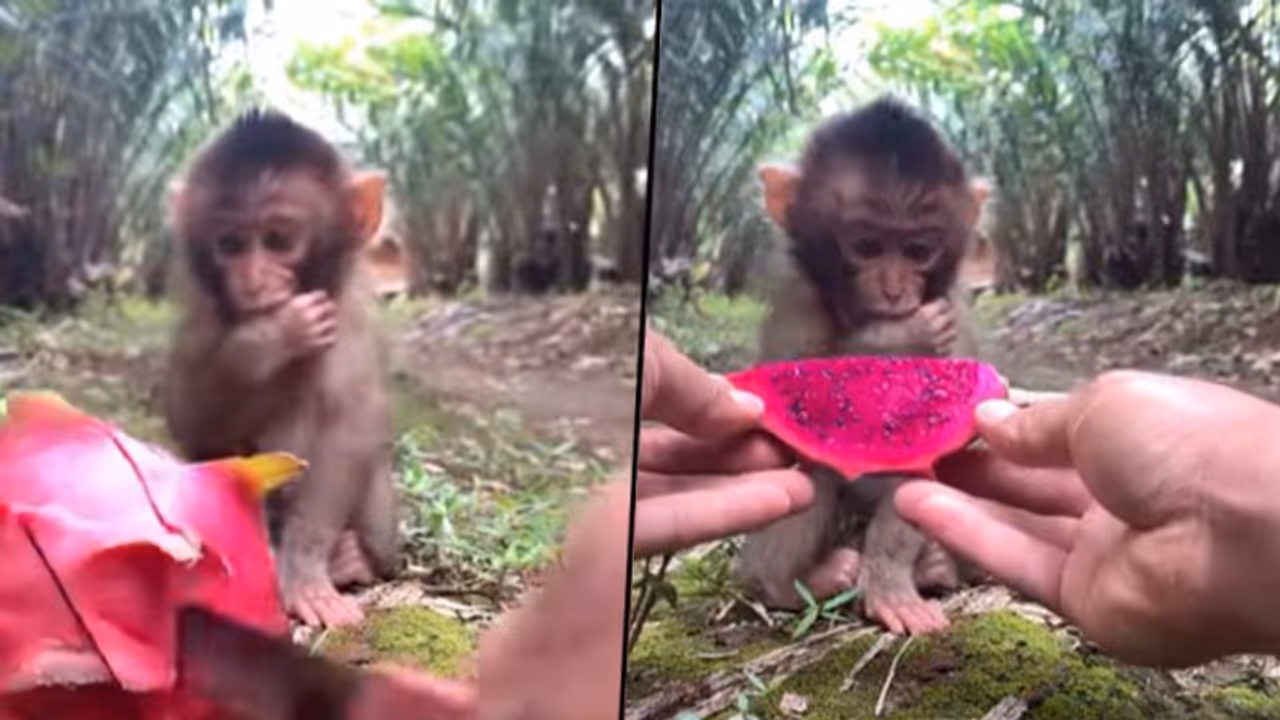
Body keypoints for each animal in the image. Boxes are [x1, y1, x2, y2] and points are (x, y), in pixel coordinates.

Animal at [163, 109, 398, 629]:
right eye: (230, 244)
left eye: (279, 240)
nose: (253, 282)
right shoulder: (202, 318)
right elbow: (192, 423)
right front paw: (271, 335)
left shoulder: (345, 328)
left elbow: (345, 434)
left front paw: (308, 574)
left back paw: (353, 558)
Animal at [734, 97, 990, 636]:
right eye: (867, 246)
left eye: (918, 251)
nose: (894, 291)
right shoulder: (799, 299)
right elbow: (786, 399)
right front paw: (900, 335)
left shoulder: (956, 312)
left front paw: (890, 584)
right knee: (807, 457)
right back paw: (786, 584)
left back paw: (936, 565)